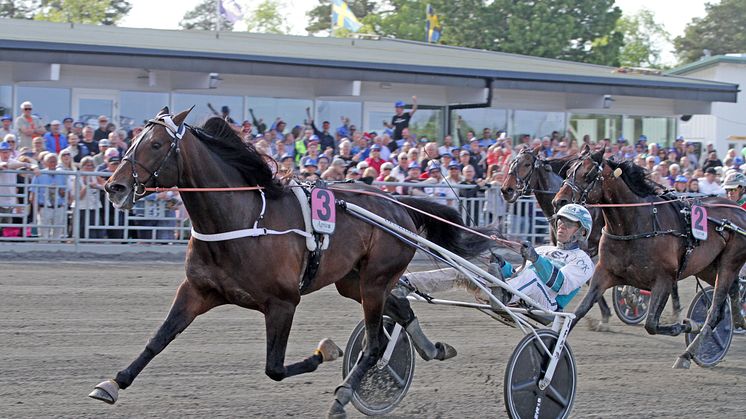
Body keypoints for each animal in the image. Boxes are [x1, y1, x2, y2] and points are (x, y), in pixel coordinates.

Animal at [552, 146, 744, 370]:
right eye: (568, 171)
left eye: (588, 174)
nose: (559, 201)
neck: (636, 224)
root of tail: (739, 212)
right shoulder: (604, 273)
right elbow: (579, 311)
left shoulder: (664, 279)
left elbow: (651, 324)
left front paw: (687, 324)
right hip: (707, 267)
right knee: (727, 300)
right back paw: (738, 321)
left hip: (728, 264)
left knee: (714, 311)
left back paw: (687, 354)